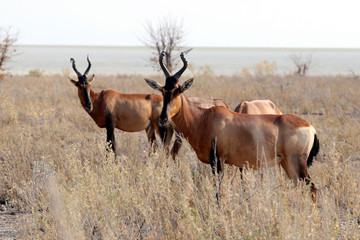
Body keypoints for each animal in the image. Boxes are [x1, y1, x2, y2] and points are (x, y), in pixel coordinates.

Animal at [145, 51, 320, 201]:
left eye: (178, 90)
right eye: (163, 91)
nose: (163, 118)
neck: (203, 118)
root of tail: (310, 127)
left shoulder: (218, 162)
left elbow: (218, 192)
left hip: (297, 163)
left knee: (312, 188)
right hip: (286, 163)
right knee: (300, 187)